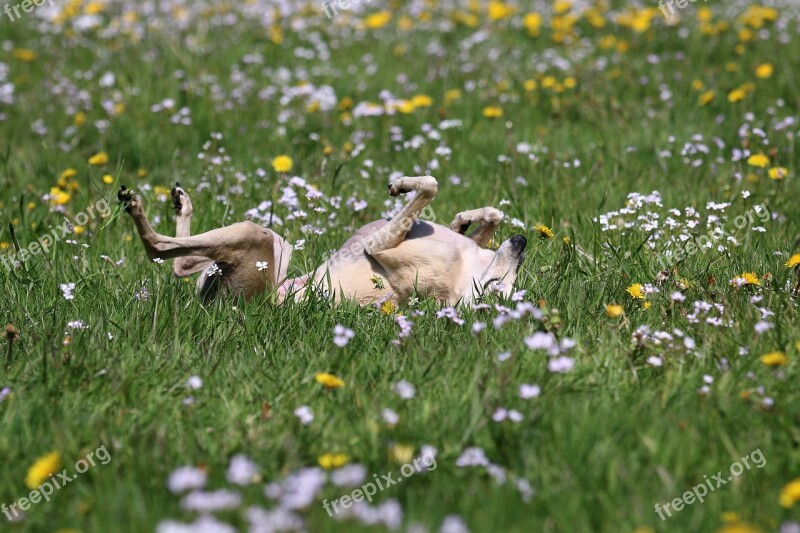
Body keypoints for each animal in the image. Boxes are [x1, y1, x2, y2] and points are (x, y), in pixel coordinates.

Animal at [117, 177, 524, 306]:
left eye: (495, 287)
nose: (521, 243)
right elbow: (491, 216)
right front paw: (466, 219)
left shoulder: (380, 245)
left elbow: (429, 186)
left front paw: (403, 185)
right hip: (279, 247)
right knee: (184, 263)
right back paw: (181, 202)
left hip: (254, 239)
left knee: (163, 253)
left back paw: (136, 208)